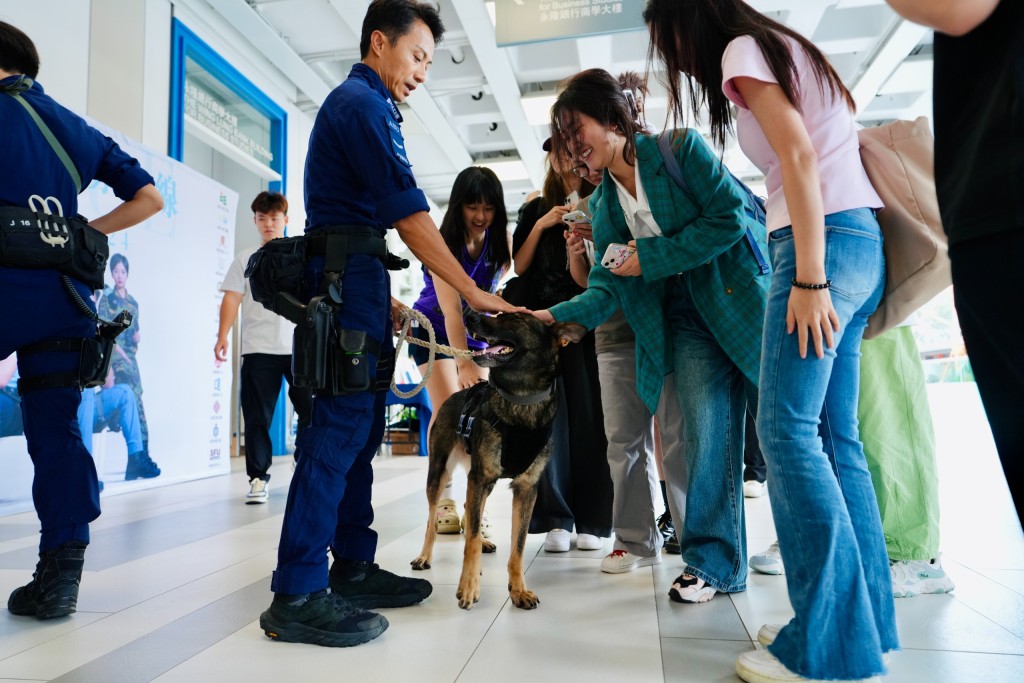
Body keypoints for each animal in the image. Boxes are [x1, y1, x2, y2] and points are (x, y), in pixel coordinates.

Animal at [407, 313, 585, 610]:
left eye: (513, 318)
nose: (470, 316)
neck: (522, 398)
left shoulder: (525, 489)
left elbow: (518, 547)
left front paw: (518, 590)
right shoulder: (480, 479)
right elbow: (470, 540)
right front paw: (468, 587)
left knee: (470, 511)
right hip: (440, 473)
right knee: (433, 518)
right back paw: (425, 556)